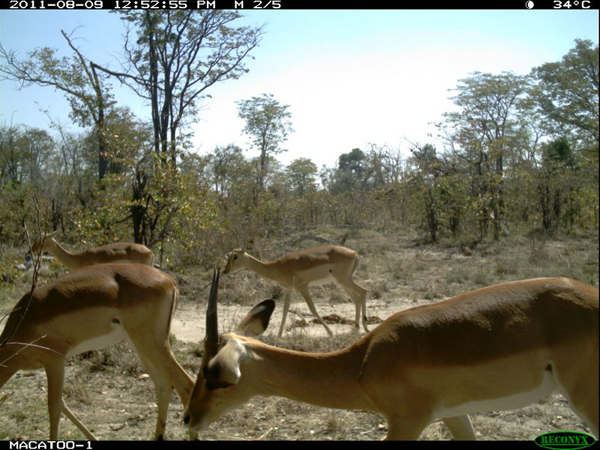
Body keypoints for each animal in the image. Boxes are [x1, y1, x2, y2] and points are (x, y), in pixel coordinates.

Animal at [0, 264, 195, 440]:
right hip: (141, 347)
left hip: (152, 344)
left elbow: (54, 407)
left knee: (186, 386)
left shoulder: (55, 360)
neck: (24, 320)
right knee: (164, 385)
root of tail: (170, 281)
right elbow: (62, 404)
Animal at [223, 246, 368, 338]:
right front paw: (278, 336)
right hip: (342, 282)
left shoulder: (303, 287)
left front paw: (330, 333)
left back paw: (364, 327)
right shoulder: (289, 290)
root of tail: (354, 253)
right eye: (228, 256)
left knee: (364, 291)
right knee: (356, 299)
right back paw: (355, 328)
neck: (278, 266)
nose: (225, 271)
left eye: (235, 256)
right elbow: (285, 310)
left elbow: (313, 309)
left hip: (344, 280)